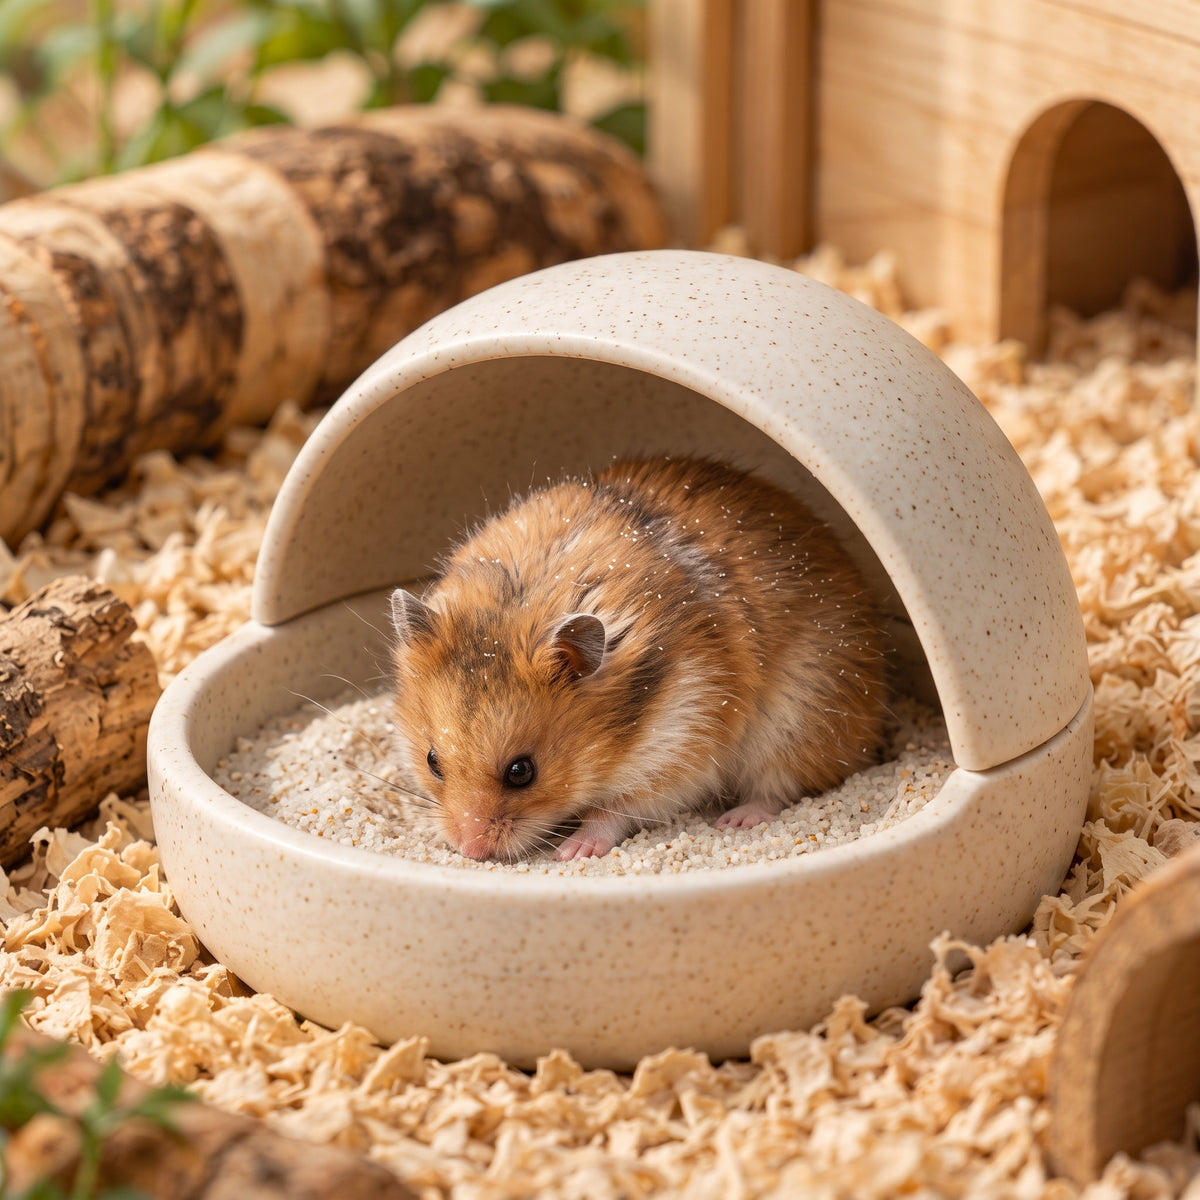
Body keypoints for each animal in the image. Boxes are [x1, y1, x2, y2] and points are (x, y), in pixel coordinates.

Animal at [388, 457, 887, 862]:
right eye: (432, 761)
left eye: (522, 772)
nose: (469, 851)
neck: (623, 731)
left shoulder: (680, 752)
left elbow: (614, 811)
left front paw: (573, 851)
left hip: (800, 718)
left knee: (778, 787)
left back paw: (736, 820)